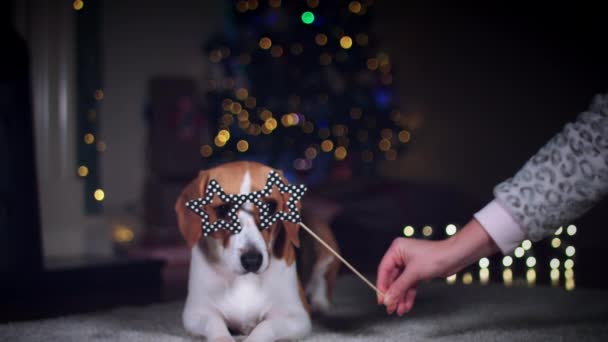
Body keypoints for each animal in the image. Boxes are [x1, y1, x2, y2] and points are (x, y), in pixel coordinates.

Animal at [173, 161, 340, 342]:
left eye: (270, 206)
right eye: (223, 209)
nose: (252, 261)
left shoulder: (296, 316)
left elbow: (264, 327)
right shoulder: (196, 313)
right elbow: (215, 323)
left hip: (327, 251)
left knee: (322, 281)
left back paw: (319, 303)